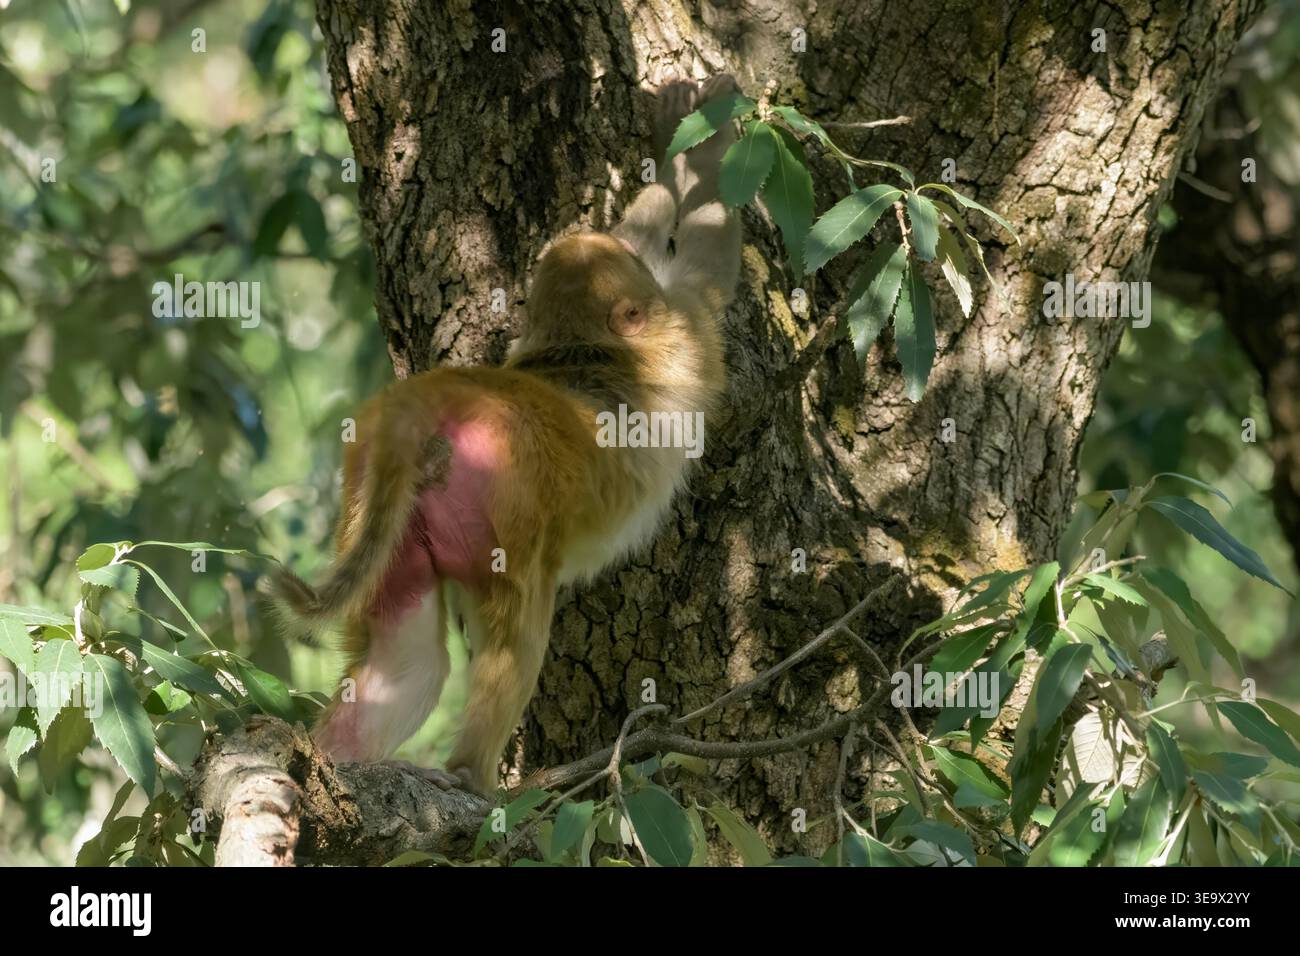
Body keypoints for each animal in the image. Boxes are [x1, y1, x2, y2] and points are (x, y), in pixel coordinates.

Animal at [270, 76, 742, 795]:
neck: (580, 349)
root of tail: (428, 397)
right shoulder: (686, 337)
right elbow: (710, 262)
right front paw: (707, 125)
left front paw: (672, 142)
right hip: (505, 503)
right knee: (516, 632)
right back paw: (472, 776)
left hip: (374, 505)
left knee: (405, 660)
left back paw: (337, 761)